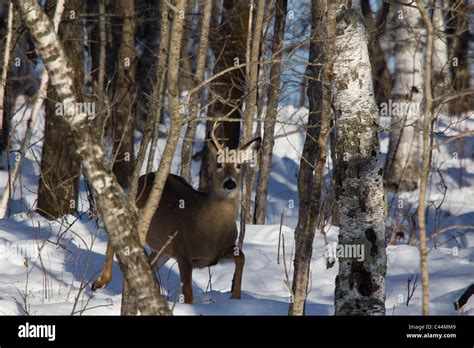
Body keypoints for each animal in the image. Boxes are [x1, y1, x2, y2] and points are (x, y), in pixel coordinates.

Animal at [91, 122, 262, 304]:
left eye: (239, 165)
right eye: (218, 164)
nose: (230, 183)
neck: (210, 230)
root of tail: (144, 176)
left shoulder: (220, 251)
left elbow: (242, 257)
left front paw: (235, 297)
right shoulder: (183, 251)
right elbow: (188, 293)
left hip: (162, 248)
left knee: (149, 263)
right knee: (114, 238)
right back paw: (99, 282)